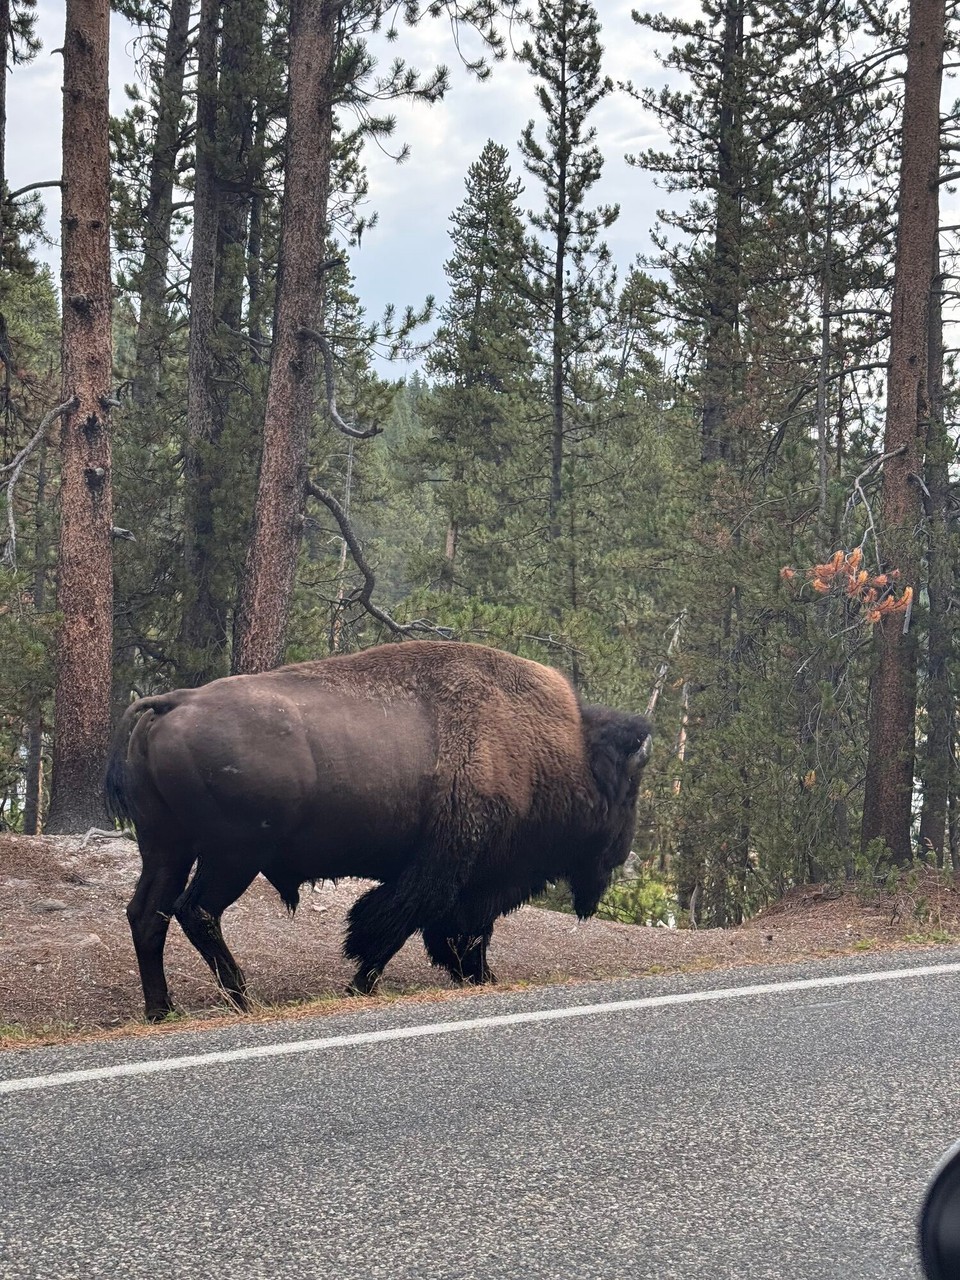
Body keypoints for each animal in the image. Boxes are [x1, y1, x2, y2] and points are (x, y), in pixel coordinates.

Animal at [105, 640, 653, 1020]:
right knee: (196, 911)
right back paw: (243, 999)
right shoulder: (447, 872)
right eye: (629, 789)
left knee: (148, 914)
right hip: (233, 856)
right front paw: (360, 986)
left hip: (167, 847)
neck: (559, 750)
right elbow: (398, 926)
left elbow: (445, 932)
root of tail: (172, 702)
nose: (620, 852)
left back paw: (162, 1010)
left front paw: (478, 977)